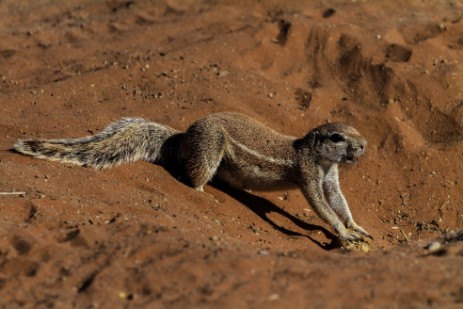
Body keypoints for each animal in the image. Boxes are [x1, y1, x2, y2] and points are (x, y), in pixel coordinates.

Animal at [12, 110, 372, 241]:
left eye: (357, 130)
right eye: (338, 137)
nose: (364, 145)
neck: (319, 158)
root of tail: (182, 137)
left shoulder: (330, 177)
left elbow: (338, 200)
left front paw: (355, 226)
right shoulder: (308, 175)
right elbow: (320, 206)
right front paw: (344, 233)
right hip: (211, 148)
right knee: (194, 173)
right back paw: (201, 192)